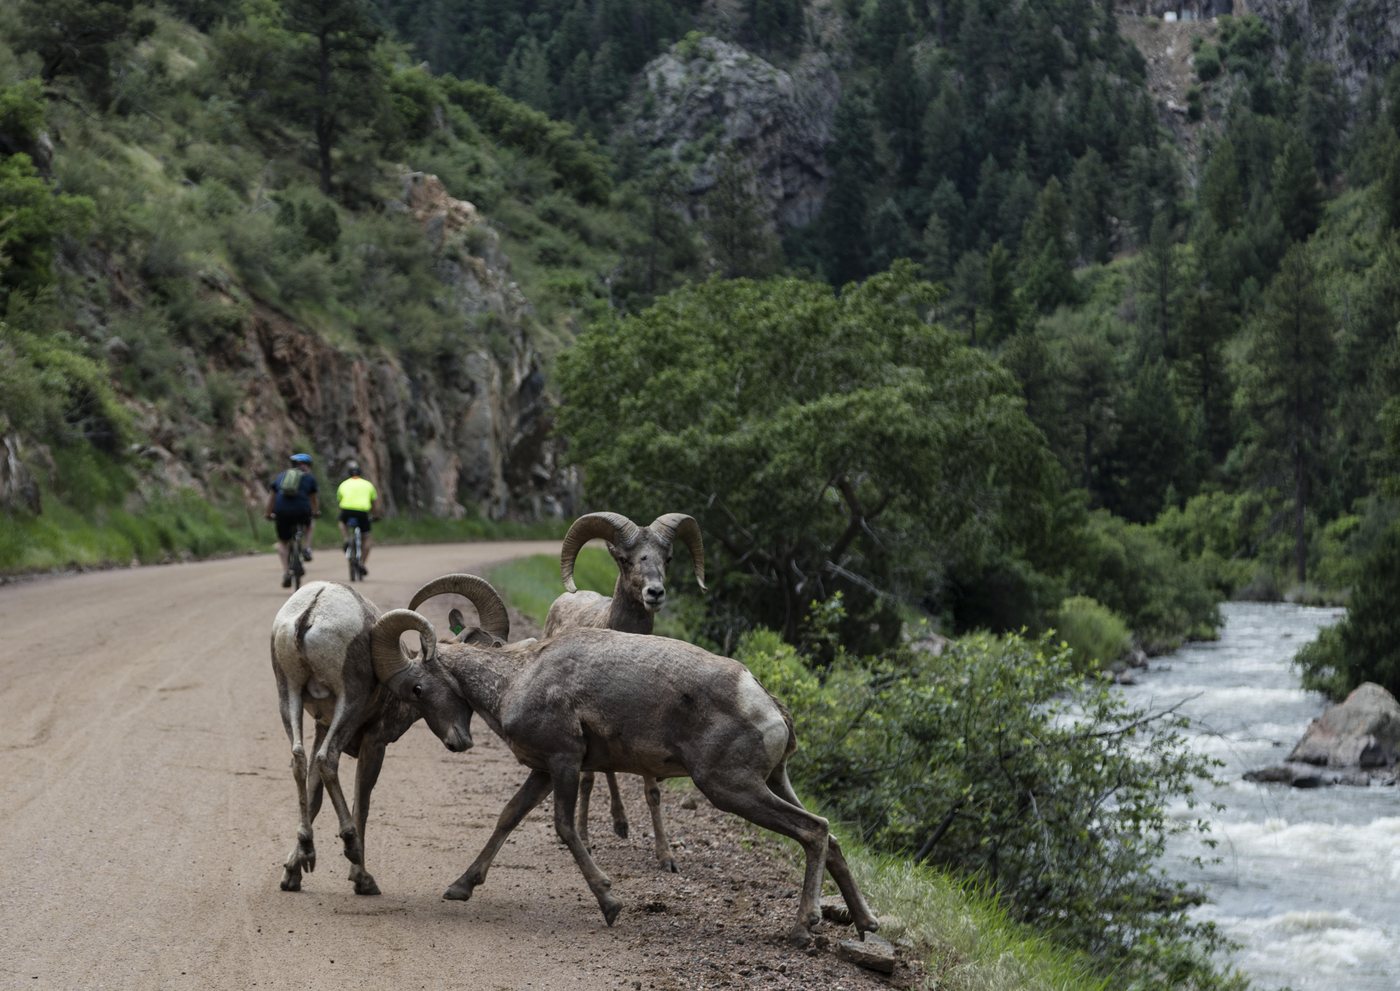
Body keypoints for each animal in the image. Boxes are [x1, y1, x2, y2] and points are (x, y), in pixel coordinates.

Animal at [270, 579, 495, 895]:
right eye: (422, 689)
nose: (461, 742)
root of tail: (311, 611)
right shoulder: (374, 743)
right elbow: (361, 804)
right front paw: (362, 879)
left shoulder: (321, 728)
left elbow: (314, 797)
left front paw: (293, 873)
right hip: (349, 702)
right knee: (328, 760)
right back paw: (352, 847)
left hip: (287, 693)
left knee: (299, 761)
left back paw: (309, 846)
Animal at [385, 574, 878, 947]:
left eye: (417, 688)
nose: (457, 744)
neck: (515, 679)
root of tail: (765, 702)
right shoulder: (543, 771)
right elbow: (508, 817)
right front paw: (460, 887)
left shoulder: (565, 762)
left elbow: (565, 828)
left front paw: (610, 903)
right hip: (774, 781)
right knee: (832, 838)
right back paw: (866, 923)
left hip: (731, 787)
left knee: (814, 831)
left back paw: (803, 928)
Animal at [543, 511, 706, 871]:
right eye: (625, 559)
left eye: (667, 558)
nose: (654, 593)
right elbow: (588, 781)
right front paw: (585, 839)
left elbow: (652, 792)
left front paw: (667, 858)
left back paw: (621, 824)